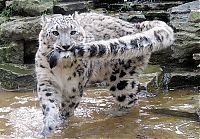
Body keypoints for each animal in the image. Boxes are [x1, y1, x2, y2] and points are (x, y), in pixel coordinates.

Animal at [35, 12, 174, 136]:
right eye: (55, 32)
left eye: (73, 32)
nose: (66, 46)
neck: (61, 67)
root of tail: (135, 25)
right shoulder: (47, 80)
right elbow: (49, 103)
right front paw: (49, 126)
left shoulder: (74, 86)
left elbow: (67, 108)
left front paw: (62, 121)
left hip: (120, 80)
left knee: (130, 100)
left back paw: (114, 113)